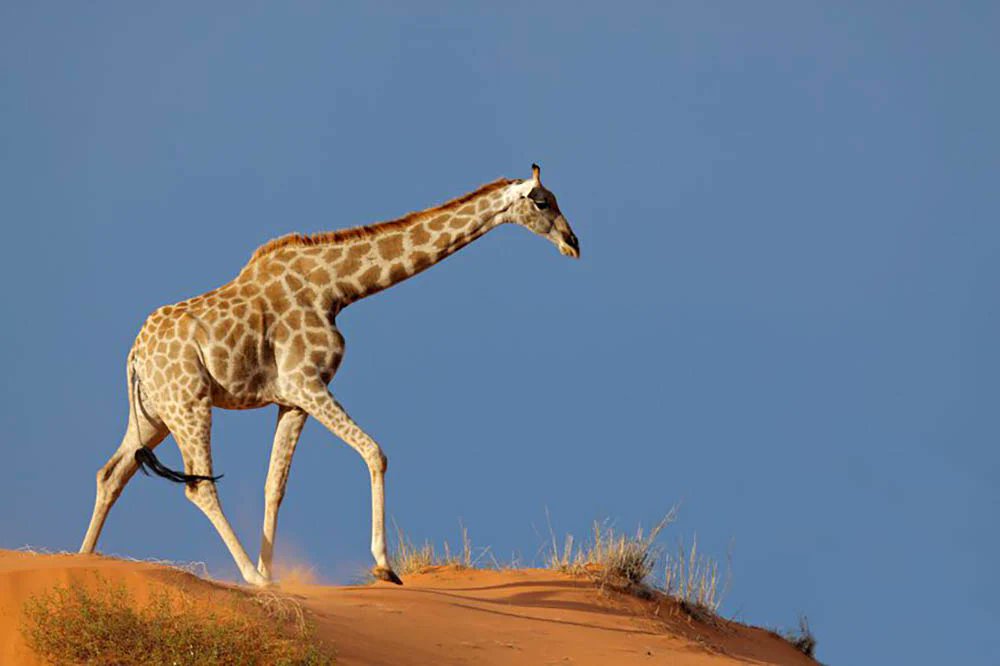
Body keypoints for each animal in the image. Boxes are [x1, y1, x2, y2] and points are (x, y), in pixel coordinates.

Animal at [79, 164, 579, 586]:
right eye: (542, 202)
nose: (573, 243)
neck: (337, 288)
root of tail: (134, 355)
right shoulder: (307, 382)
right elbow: (375, 452)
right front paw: (382, 567)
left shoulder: (291, 399)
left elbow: (274, 486)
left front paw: (276, 572)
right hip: (189, 403)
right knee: (198, 486)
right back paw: (250, 578)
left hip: (154, 413)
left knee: (111, 473)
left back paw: (85, 559)